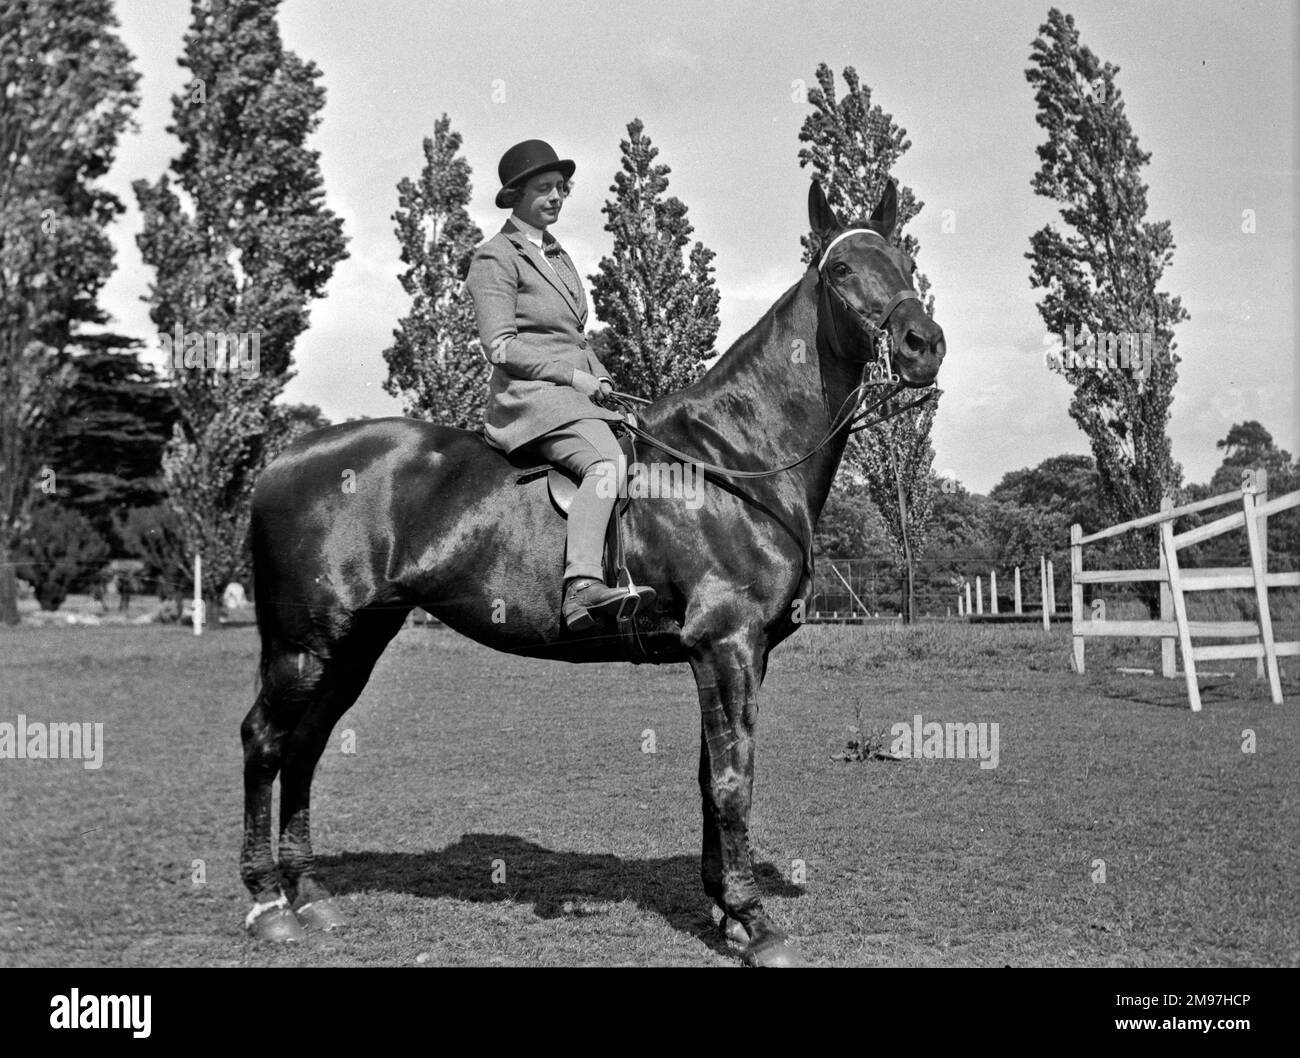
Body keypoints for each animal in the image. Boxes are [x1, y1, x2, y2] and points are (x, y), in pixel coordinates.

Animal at [240, 178, 946, 966]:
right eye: (843, 270)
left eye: (905, 261)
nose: (923, 344)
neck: (733, 460)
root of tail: (282, 463)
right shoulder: (726, 646)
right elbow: (733, 780)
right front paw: (754, 921)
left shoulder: (738, 654)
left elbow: (710, 774)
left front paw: (724, 910)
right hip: (304, 646)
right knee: (264, 743)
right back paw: (269, 903)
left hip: (355, 643)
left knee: (305, 745)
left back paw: (309, 895)